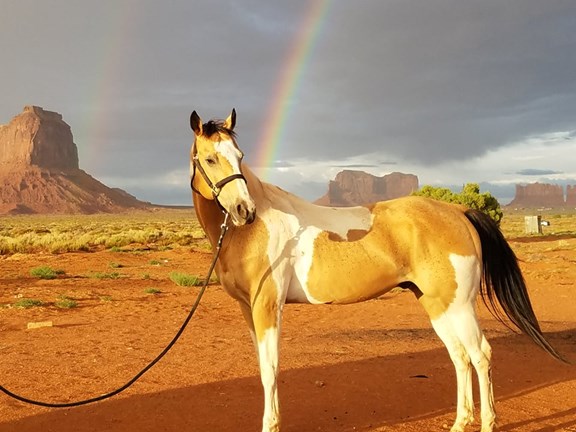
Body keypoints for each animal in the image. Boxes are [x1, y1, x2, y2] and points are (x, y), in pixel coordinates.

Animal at [188, 109, 564, 432]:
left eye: (239, 156)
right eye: (210, 158)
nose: (244, 210)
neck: (251, 232)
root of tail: (458, 211)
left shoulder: (267, 306)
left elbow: (270, 369)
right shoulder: (248, 309)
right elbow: (261, 366)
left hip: (460, 305)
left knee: (480, 355)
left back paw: (486, 422)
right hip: (437, 304)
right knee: (459, 356)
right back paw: (460, 422)